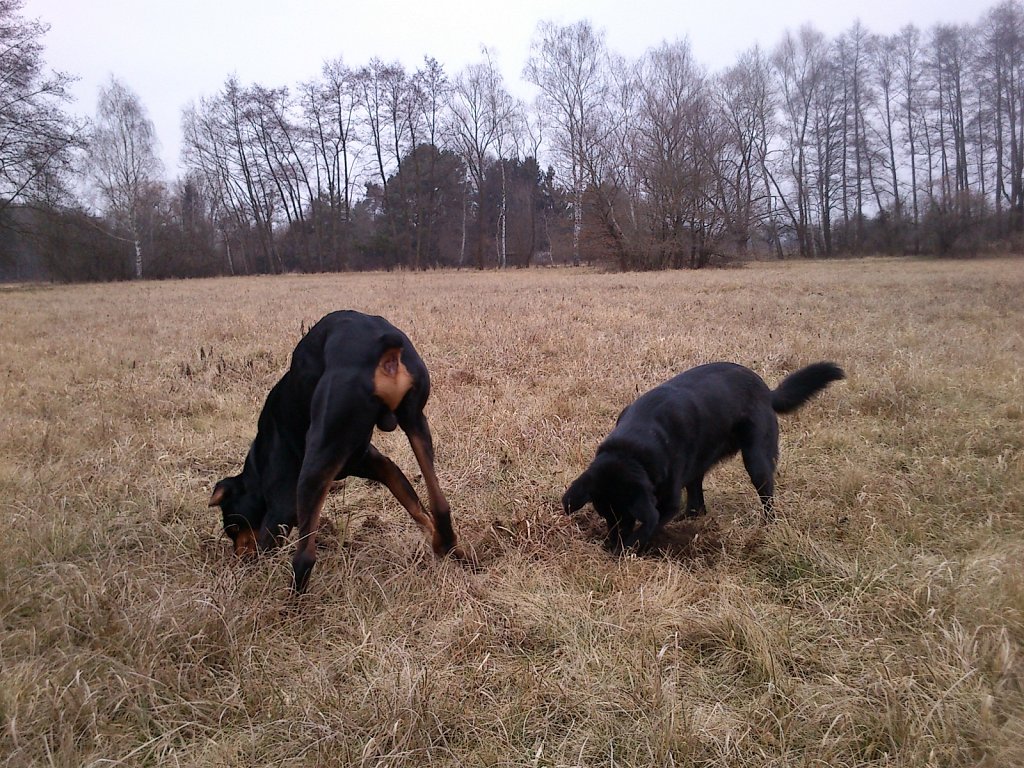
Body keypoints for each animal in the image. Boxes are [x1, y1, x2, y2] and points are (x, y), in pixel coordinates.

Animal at [207, 313, 460, 593]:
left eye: (231, 526)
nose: (239, 558)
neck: (258, 465)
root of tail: (382, 344)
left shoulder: (281, 507)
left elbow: (266, 544)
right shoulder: (380, 465)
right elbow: (416, 507)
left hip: (315, 465)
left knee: (305, 557)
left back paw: (290, 603)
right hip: (416, 421)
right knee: (440, 505)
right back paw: (452, 548)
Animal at [565, 362, 843, 548]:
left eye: (627, 517)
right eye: (605, 516)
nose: (610, 544)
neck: (632, 446)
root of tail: (766, 390)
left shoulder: (667, 502)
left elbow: (650, 524)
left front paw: (628, 546)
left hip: (756, 459)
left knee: (766, 495)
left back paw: (767, 525)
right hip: (699, 463)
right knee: (697, 503)